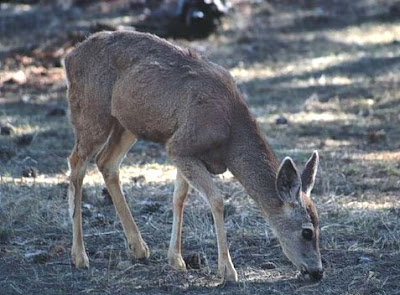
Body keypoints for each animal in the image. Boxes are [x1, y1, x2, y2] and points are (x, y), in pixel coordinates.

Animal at [63, 31, 324, 284]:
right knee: (76, 164)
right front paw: (227, 270)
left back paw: (138, 248)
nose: (318, 271)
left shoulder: (185, 151)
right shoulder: (180, 145)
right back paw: (79, 256)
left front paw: (176, 259)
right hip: (90, 112)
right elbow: (216, 199)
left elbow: (179, 197)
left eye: (319, 224)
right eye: (307, 231)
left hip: (127, 124)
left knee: (106, 162)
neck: (230, 137)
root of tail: (69, 58)